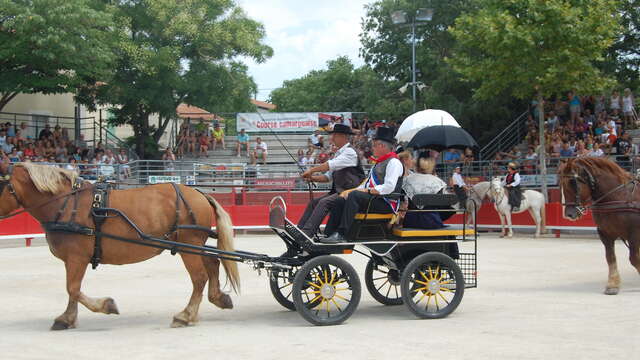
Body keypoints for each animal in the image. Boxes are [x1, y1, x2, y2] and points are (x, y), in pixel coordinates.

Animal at [0, 162, 240, 330]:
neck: (66, 204)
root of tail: (200, 193)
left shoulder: (77, 257)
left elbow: (73, 288)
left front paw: (106, 305)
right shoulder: (73, 259)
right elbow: (72, 290)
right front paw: (67, 318)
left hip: (188, 245)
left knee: (199, 277)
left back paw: (185, 315)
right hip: (192, 246)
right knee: (213, 262)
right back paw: (218, 298)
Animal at [556, 158, 640, 296]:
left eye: (573, 182)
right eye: (560, 184)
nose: (569, 214)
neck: (619, 196)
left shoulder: (634, 234)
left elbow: (634, 258)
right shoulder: (605, 233)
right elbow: (610, 257)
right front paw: (612, 285)